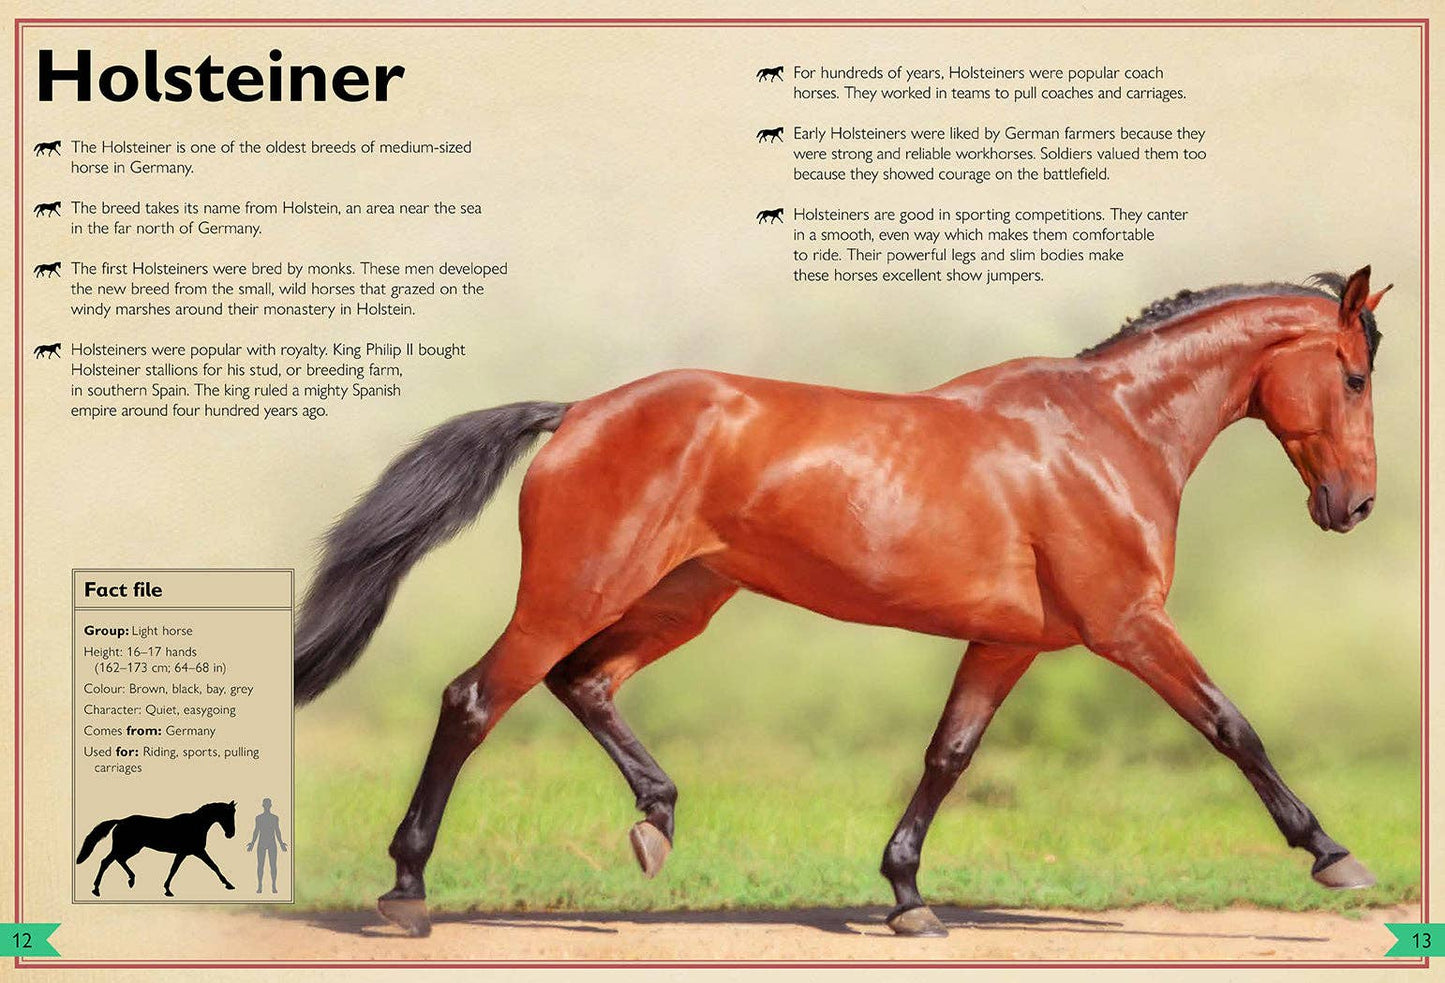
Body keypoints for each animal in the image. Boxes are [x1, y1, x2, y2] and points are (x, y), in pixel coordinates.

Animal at [76, 800, 237, 897]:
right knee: (107, 861)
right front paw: (229, 884)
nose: (231, 834)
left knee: (119, 860)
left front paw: (167, 889)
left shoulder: (185, 853)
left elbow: (175, 869)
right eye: (228, 815)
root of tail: (120, 821)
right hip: (126, 847)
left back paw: (131, 880)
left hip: (132, 848)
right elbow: (213, 866)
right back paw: (96, 889)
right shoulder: (195, 852)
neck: (196, 825)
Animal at [294, 266, 1389, 938]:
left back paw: (657, 820)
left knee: (584, 682)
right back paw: (407, 888)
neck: (1105, 432)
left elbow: (948, 755)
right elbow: (1231, 725)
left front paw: (906, 894)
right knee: (477, 698)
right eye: (1351, 373)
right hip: (574, 590)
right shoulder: (1128, 626)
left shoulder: (1005, 643)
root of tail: (577, 412)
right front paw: (1332, 853)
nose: (1353, 506)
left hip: (682, 595)